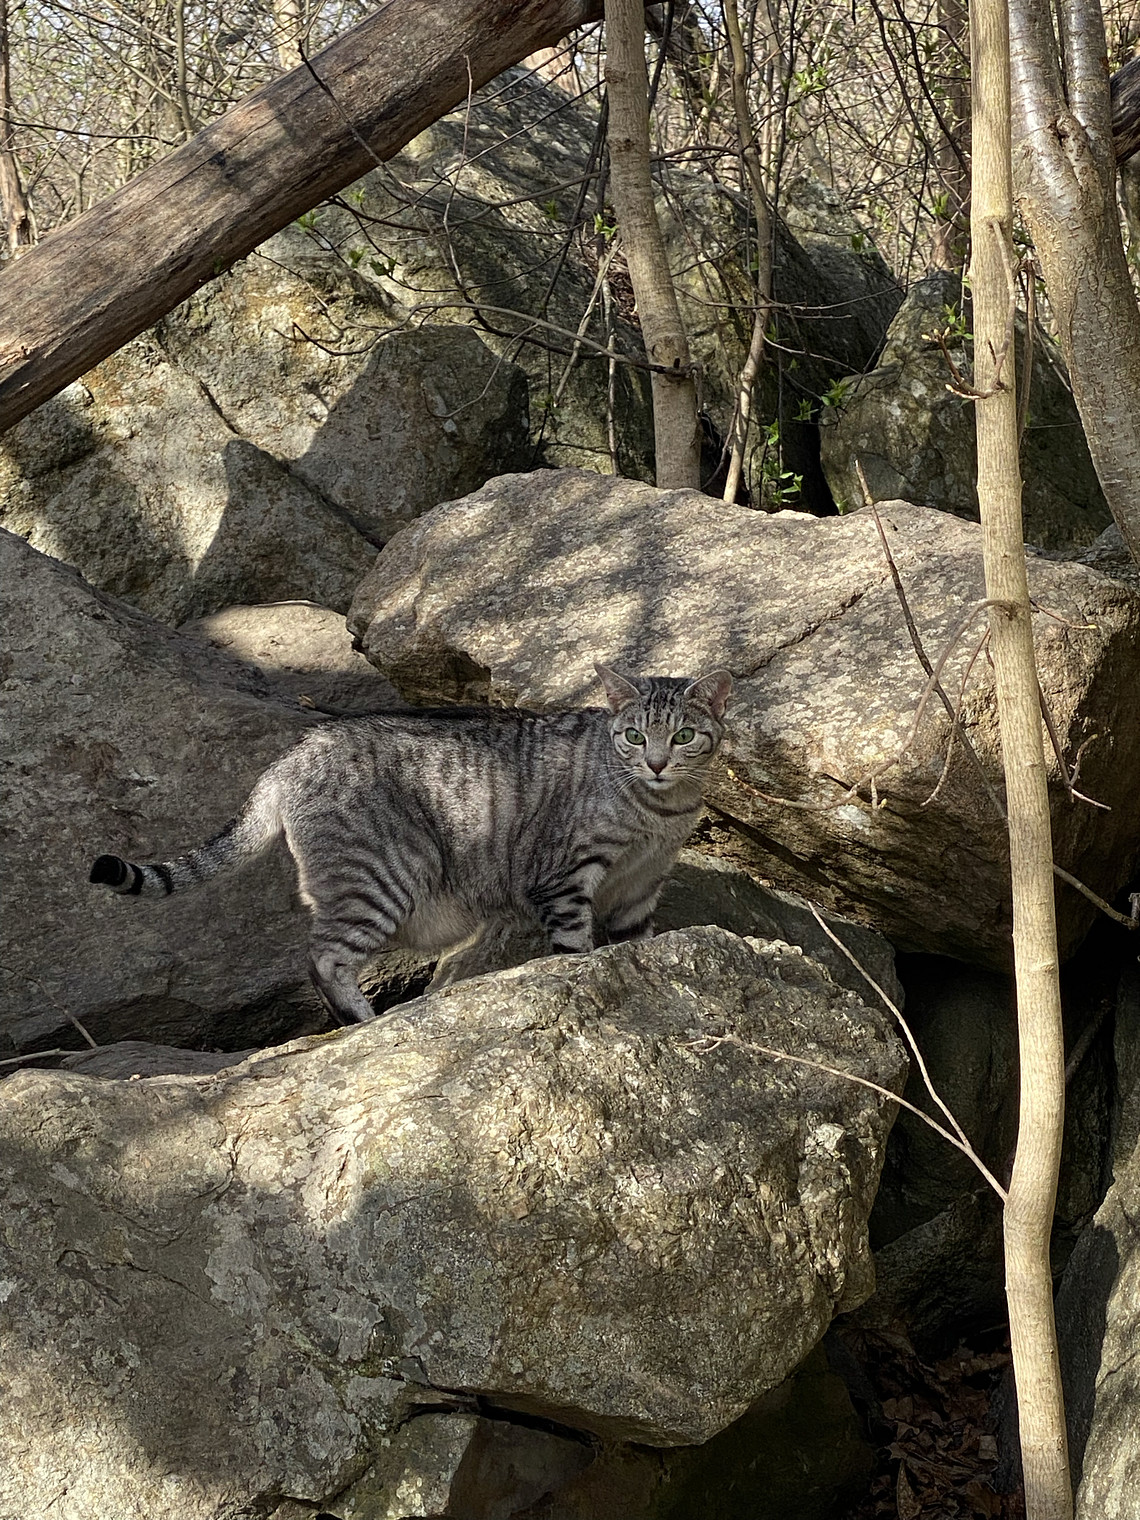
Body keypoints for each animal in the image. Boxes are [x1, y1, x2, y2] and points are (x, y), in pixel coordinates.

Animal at [90, 663, 732, 1025]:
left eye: (682, 736)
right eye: (633, 736)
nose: (655, 764)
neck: (659, 813)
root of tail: (292, 754)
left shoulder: (640, 887)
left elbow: (639, 945)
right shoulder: (564, 879)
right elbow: (574, 949)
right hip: (378, 882)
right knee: (322, 958)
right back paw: (362, 1018)